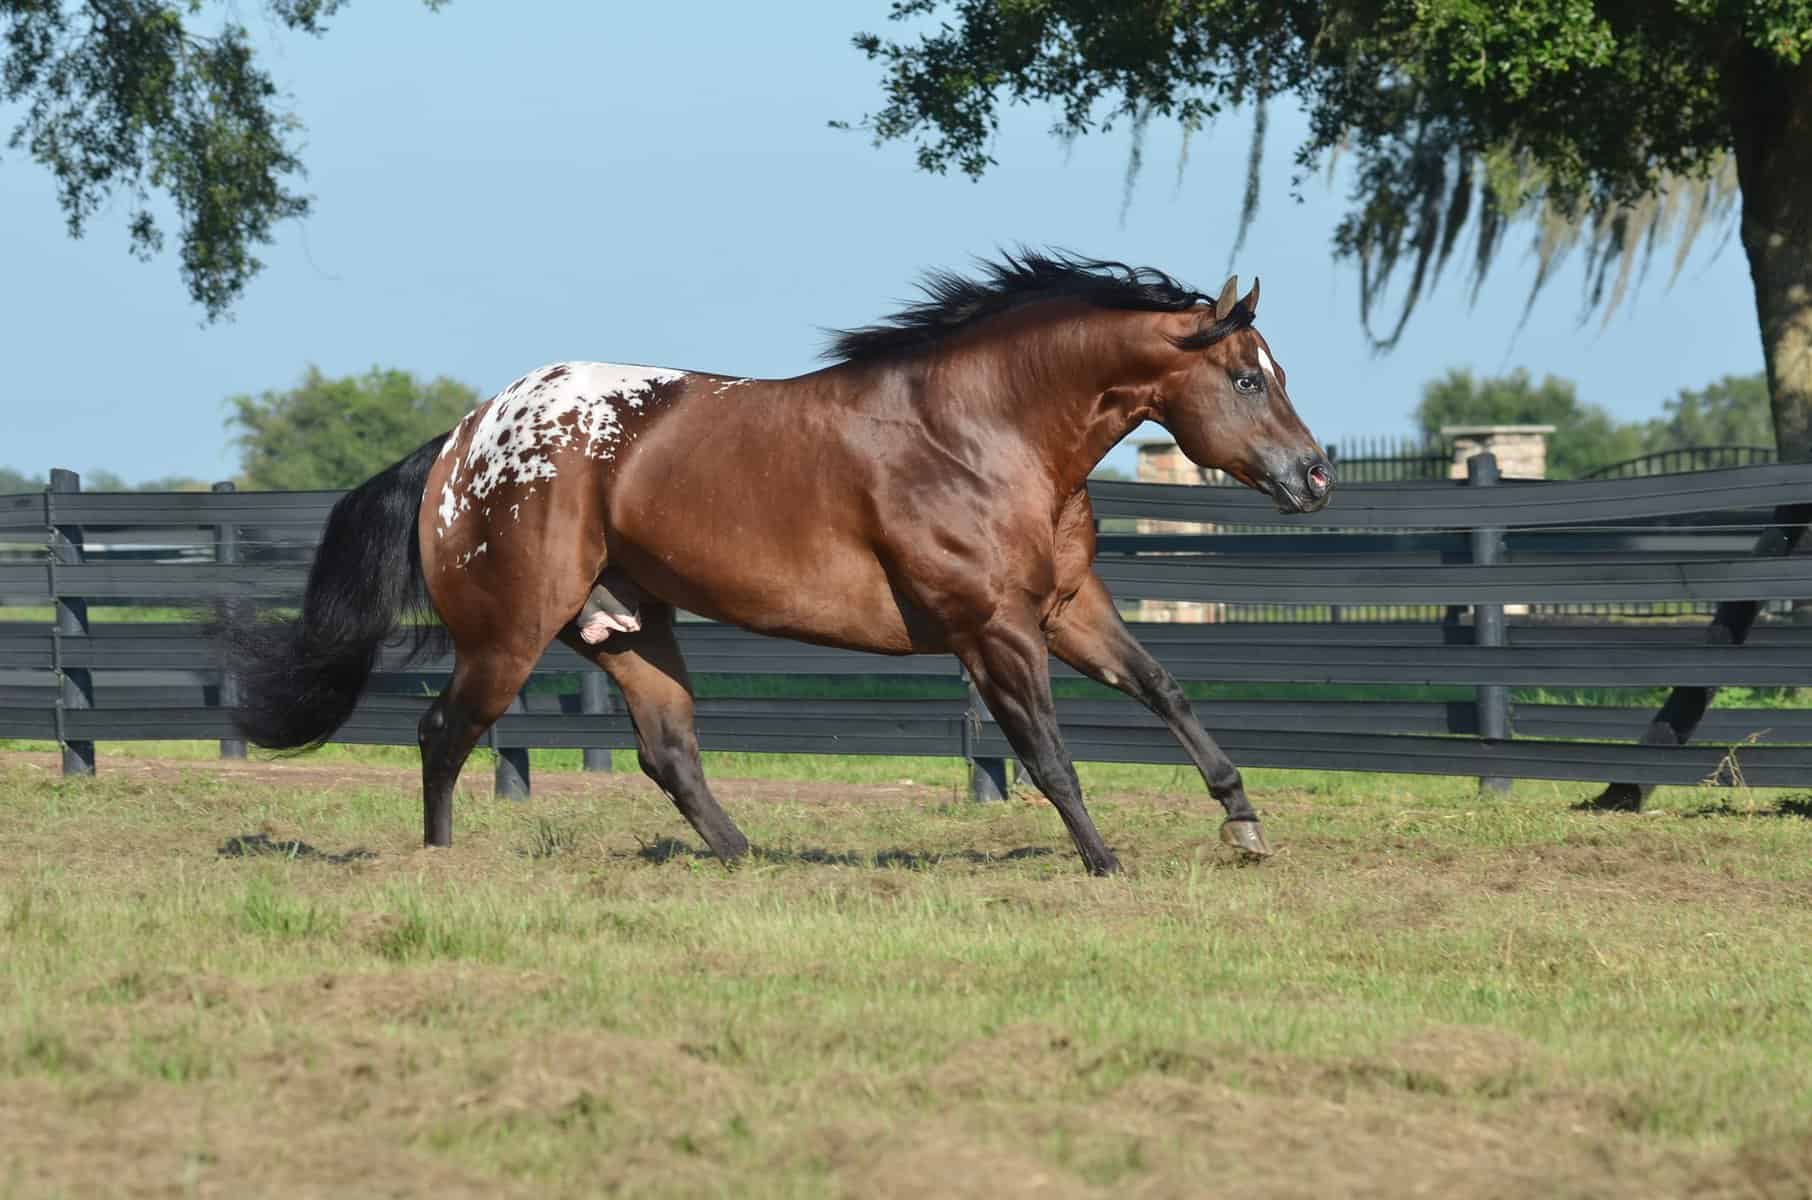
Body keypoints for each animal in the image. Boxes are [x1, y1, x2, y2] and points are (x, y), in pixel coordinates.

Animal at [223, 252, 1333, 876]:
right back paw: (441, 868)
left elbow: (1166, 691)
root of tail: (461, 443)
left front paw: (1244, 824)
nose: (1314, 474)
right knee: (442, 733)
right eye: (1246, 378)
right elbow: (1047, 755)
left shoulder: (1068, 608)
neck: (979, 432)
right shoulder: (994, 631)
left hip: (628, 631)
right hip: (508, 634)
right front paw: (1105, 864)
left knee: (667, 750)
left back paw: (746, 858)